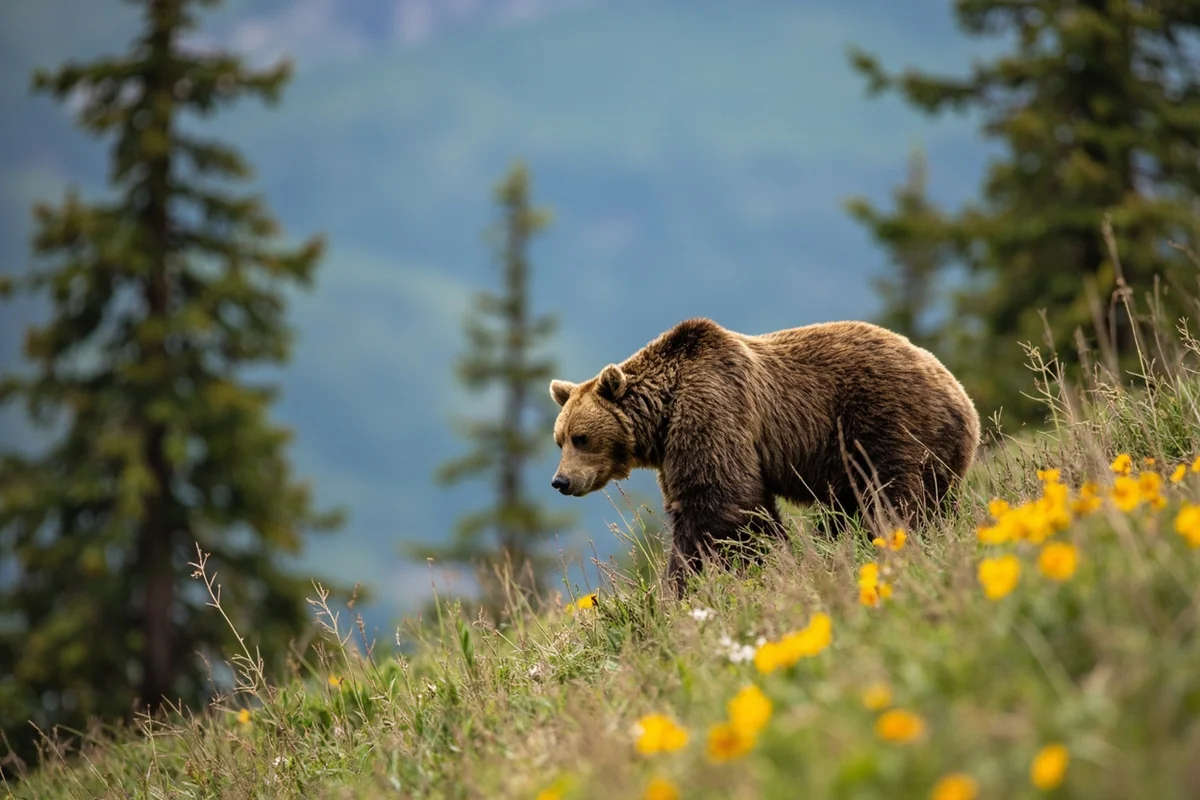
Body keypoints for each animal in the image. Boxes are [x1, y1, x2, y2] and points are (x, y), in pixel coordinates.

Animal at [548, 317, 981, 595]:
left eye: (581, 437)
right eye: (559, 439)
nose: (560, 481)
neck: (663, 416)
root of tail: (961, 395)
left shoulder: (714, 410)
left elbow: (722, 506)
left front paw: (695, 580)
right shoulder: (676, 449)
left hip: (883, 421)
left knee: (890, 494)